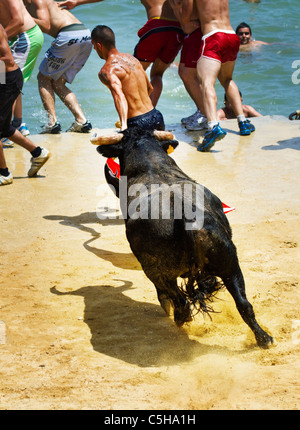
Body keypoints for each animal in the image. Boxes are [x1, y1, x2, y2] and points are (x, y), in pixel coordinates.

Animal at [95, 127, 274, 350]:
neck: (152, 166)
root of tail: (185, 214)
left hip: (156, 270)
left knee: (179, 300)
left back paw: (179, 318)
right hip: (230, 262)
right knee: (243, 303)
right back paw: (264, 338)